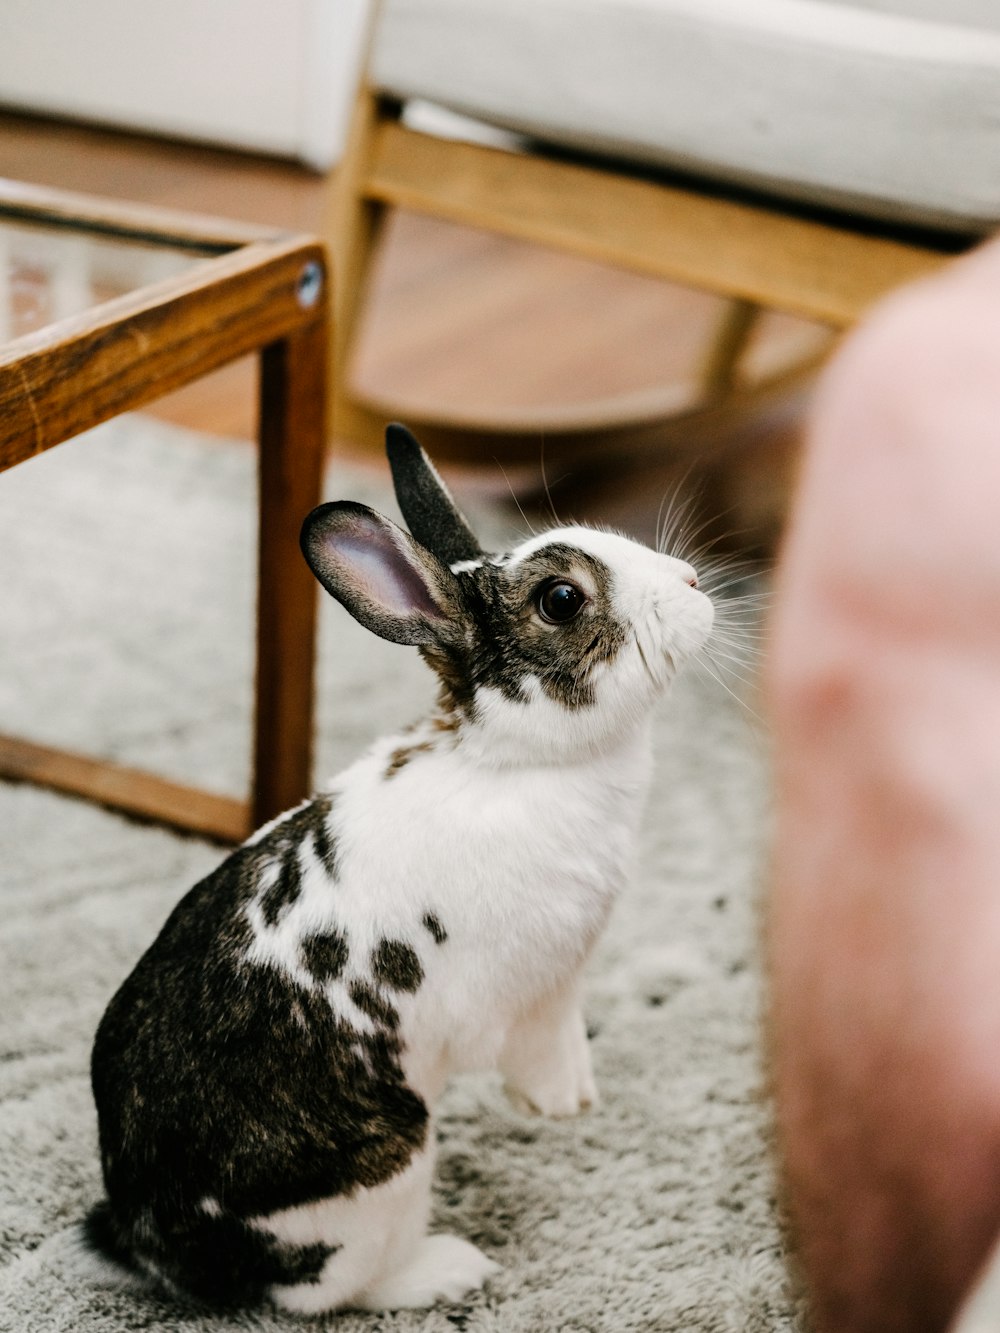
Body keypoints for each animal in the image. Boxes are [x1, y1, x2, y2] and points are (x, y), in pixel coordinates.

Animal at [84, 423, 714, 1311]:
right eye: (561, 599)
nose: (693, 582)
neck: (517, 760)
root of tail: (152, 1246)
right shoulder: (524, 995)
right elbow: (537, 1045)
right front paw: (559, 1105)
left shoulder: (563, 983)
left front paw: (577, 1096)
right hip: (392, 1167)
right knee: (328, 1291)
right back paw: (452, 1266)